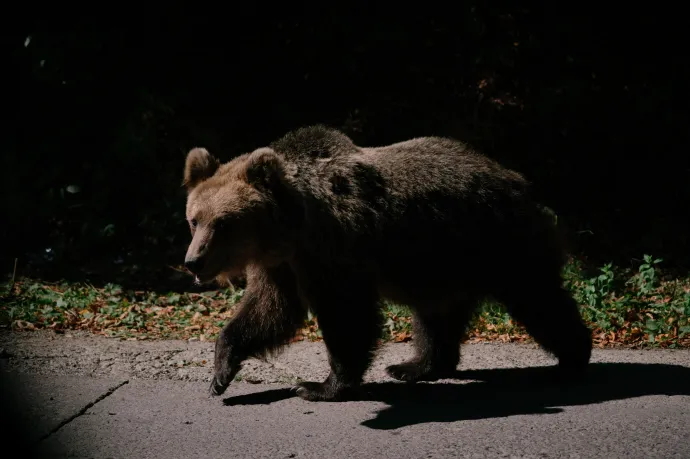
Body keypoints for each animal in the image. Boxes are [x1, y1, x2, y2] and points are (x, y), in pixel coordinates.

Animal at [180, 125, 588, 402]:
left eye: (224, 223)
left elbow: (346, 313)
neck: (290, 229)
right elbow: (270, 310)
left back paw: (572, 359)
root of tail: (516, 178)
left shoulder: (333, 249)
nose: (193, 262)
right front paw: (220, 372)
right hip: (440, 260)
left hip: (497, 238)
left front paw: (319, 385)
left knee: (536, 295)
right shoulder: (281, 266)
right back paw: (414, 366)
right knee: (437, 314)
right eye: (194, 219)